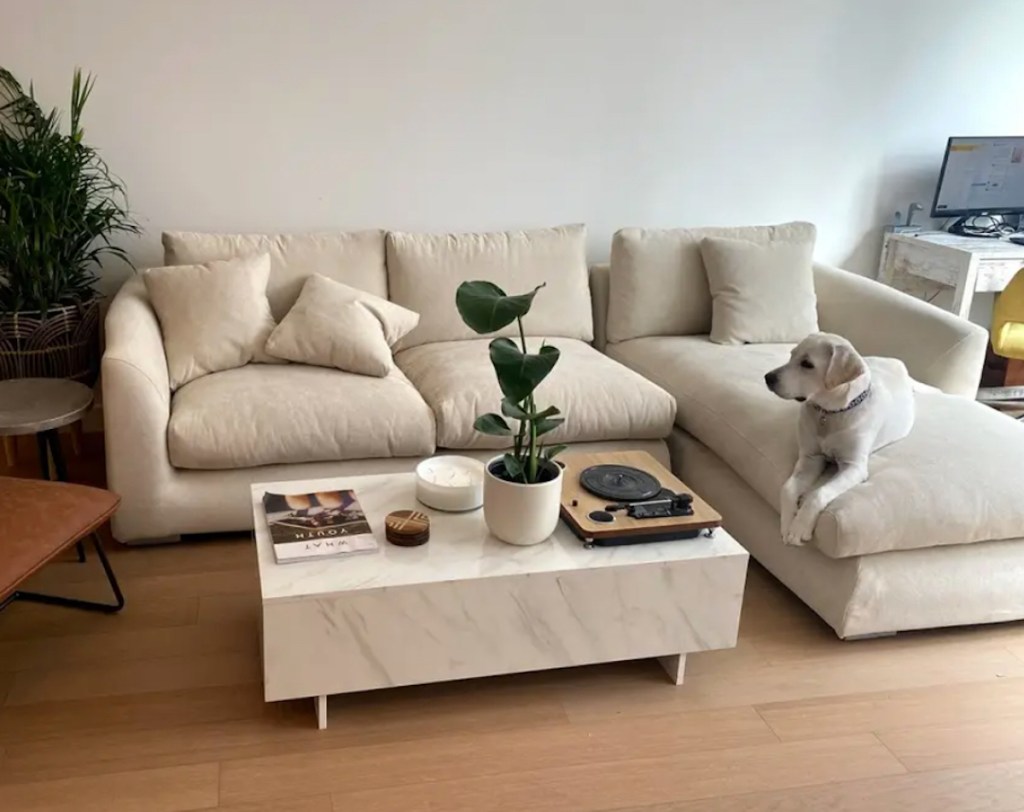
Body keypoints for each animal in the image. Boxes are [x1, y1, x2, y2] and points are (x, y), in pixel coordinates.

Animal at [765, 331, 917, 548]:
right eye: (791, 354)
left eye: (807, 364)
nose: (767, 378)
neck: (830, 414)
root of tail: (896, 362)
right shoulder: (810, 458)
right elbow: (787, 488)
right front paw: (787, 522)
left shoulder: (854, 467)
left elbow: (817, 493)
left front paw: (800, 527)